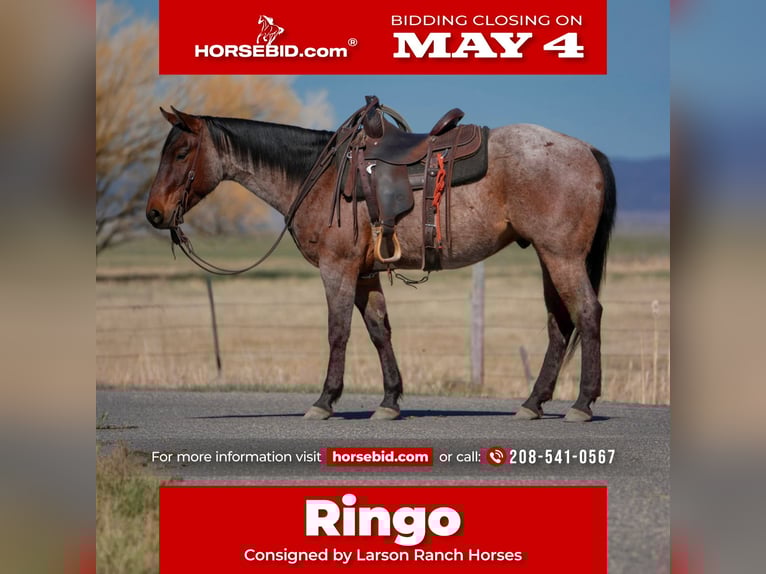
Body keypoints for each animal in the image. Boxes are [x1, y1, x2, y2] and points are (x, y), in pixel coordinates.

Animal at [145, 103, 616, 422]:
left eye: (182, 152)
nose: (154, 213)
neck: (317, 176)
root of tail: (589, 150)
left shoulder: (337, 269)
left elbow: (338, 333)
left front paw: (325, 400)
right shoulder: (364, 276)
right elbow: (379, 332)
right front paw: (390, 401)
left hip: (561, 256)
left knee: (588, 313)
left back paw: (582, 403)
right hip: (547, 256)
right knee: (560, 325)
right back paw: (533, 402)